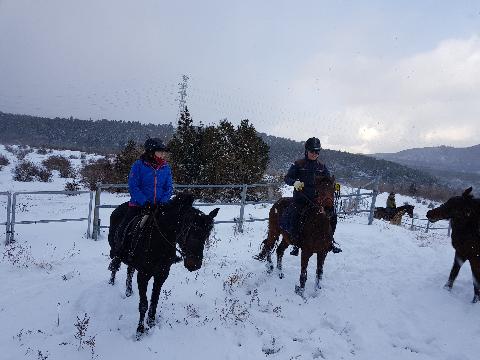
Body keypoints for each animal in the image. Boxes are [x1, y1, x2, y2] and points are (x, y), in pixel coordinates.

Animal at [107, 193, 219, 336]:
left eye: (206, 235)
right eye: (190, 232)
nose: (194, 265)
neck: (158, 241)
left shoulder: (162, 274)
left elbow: (154, 300)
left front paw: (151, 323)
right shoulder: (143, 275)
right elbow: (143, 304)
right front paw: (140, 331)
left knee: (130, 270)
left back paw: (128, 291)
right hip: (116, 251)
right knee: (115, 267)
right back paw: (112, 281)